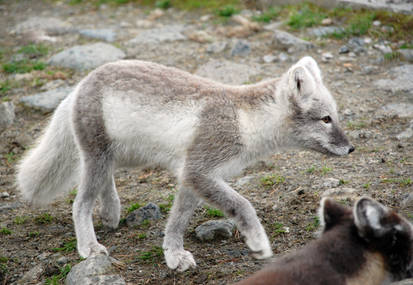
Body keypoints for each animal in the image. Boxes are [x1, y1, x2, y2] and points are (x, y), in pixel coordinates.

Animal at [15, 56, 350, 270]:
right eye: (326, 119)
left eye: (334, 116)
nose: (351, 147)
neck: (245, 122)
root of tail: (80, 84)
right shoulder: (198, 171)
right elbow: (243, 205)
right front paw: (258, 242)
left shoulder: (193, 177)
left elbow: (178, 220)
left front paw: (173, 255)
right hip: (100, 156)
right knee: (80, 203)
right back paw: (89, 246)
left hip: (121, 156)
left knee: (104, 181)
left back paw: (111, 212)